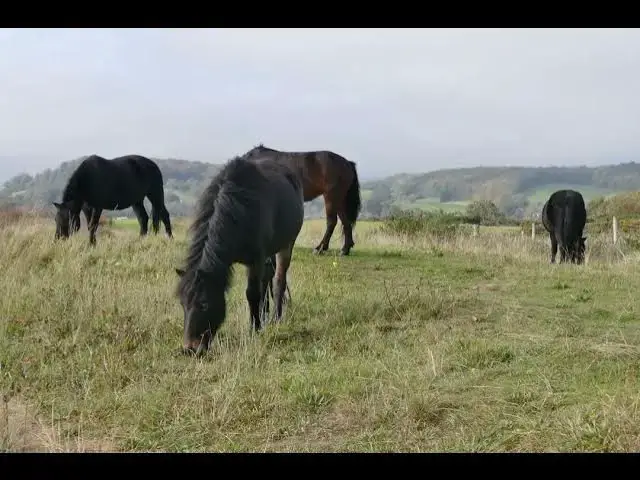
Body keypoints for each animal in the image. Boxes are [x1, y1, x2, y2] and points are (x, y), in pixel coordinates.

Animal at [175, 155, 305, 357]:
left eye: (204, 304)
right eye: (182, 304)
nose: (190, 349)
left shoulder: (256, 259)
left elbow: (252, 293)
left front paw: (255, 329)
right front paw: (259, 321)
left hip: (286, 245)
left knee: (278, 281)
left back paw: (275, 318)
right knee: (267, 280)